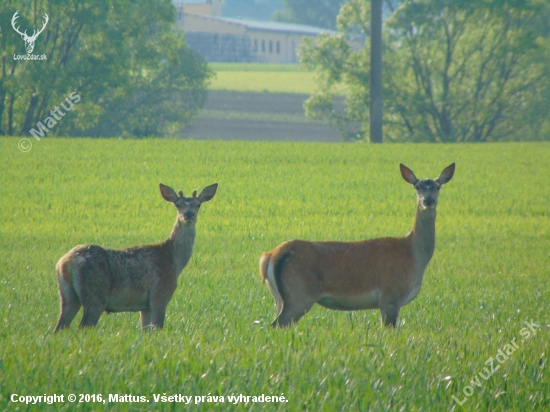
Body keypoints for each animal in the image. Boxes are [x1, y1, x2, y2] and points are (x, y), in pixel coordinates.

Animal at [54, 183, 218, 332]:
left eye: (198, 204)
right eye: (178, 205)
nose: (188, 215)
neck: (173, 261)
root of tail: (66, 262)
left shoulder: (144, 306)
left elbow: (145, 330)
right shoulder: (160, 294)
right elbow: (158, 328)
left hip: (67, 295)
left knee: (60, 327)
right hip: (95, 294)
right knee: (83, 326)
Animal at [260, 164, 454, 328]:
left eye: (438, 186)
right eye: (417, 187)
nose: (428, 200)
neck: (414, 256)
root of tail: (270, 255)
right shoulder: (390, 296)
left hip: (279, 297)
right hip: (299, 295)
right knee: (277, 324)